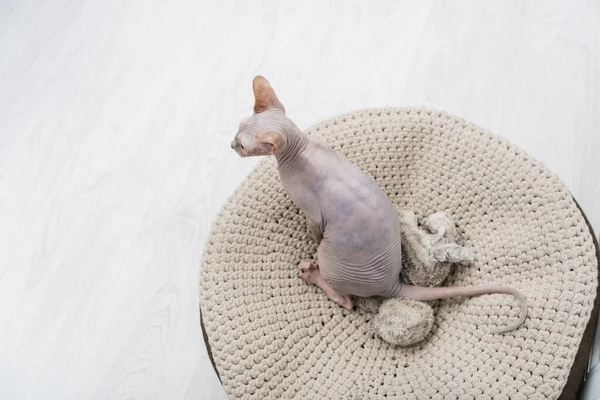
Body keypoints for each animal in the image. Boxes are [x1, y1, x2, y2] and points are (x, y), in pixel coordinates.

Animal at [232, 76, 528, 332]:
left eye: (244, 145)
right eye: (238, 126)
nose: (232, 145)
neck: (300, 148)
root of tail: (391, 286)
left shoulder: (313, 214)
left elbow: (313, 230)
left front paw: (307, 237)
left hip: (331, 260)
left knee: (345, 300)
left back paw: (311, 273)